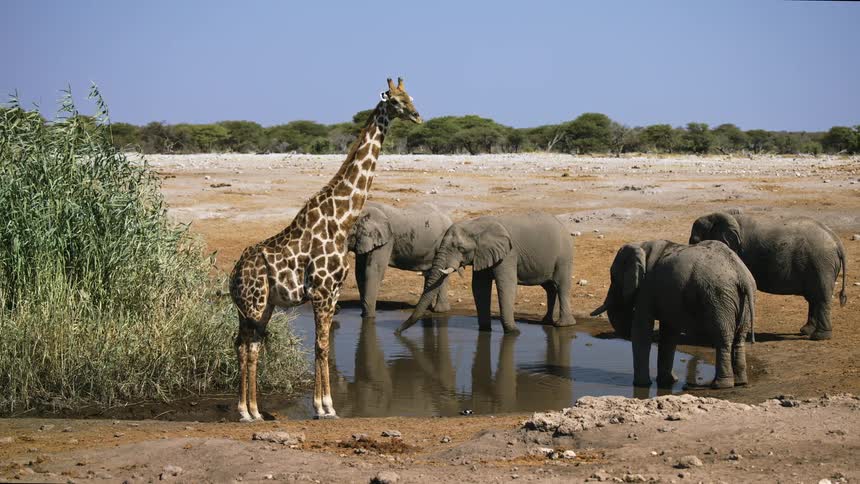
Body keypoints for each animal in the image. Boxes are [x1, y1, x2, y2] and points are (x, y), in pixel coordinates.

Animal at [229, 78, 422, 421]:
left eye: (411, 97)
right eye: (397, 101)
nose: (417, 116)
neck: (342, 219)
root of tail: (231, 276)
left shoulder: (332, 293)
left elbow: (324, 347)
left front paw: (325, 405)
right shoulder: (321, 292)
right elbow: (320, 346)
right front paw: (325, 407)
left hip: (262, 307)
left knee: (247, 345)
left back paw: (252, 410)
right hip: (253, 304)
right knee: (246, 345)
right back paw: (246, 411)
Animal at [397, 212, 576, 334]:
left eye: (461, 249)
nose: (396, 332)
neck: (477, 226)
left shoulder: (508, 254)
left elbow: (506, 284)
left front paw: (513, 332)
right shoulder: (481, 253)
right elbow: (479, 286)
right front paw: (484, 329)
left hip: (564, 255)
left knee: (561, 285)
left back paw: (564, 325)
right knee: (550, 288)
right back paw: (546, 321)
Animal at [590, 240, 756, 389]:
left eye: (613, 277)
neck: (641, 247)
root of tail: (741, 273)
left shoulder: (646, 289)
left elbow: (642, 330)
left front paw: (641, 385)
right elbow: (669, 333)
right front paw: (669, 382)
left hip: (718, 297)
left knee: (723, 338)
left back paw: (720, 385)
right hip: (742, 299)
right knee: (739, 338)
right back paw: (740, 383)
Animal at [689, 211, 848, 340]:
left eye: (695, 241)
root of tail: (837, 240)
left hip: (822, 264)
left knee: (821, 297)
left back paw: (819, 337)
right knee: (814, 297)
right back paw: (806, 331)